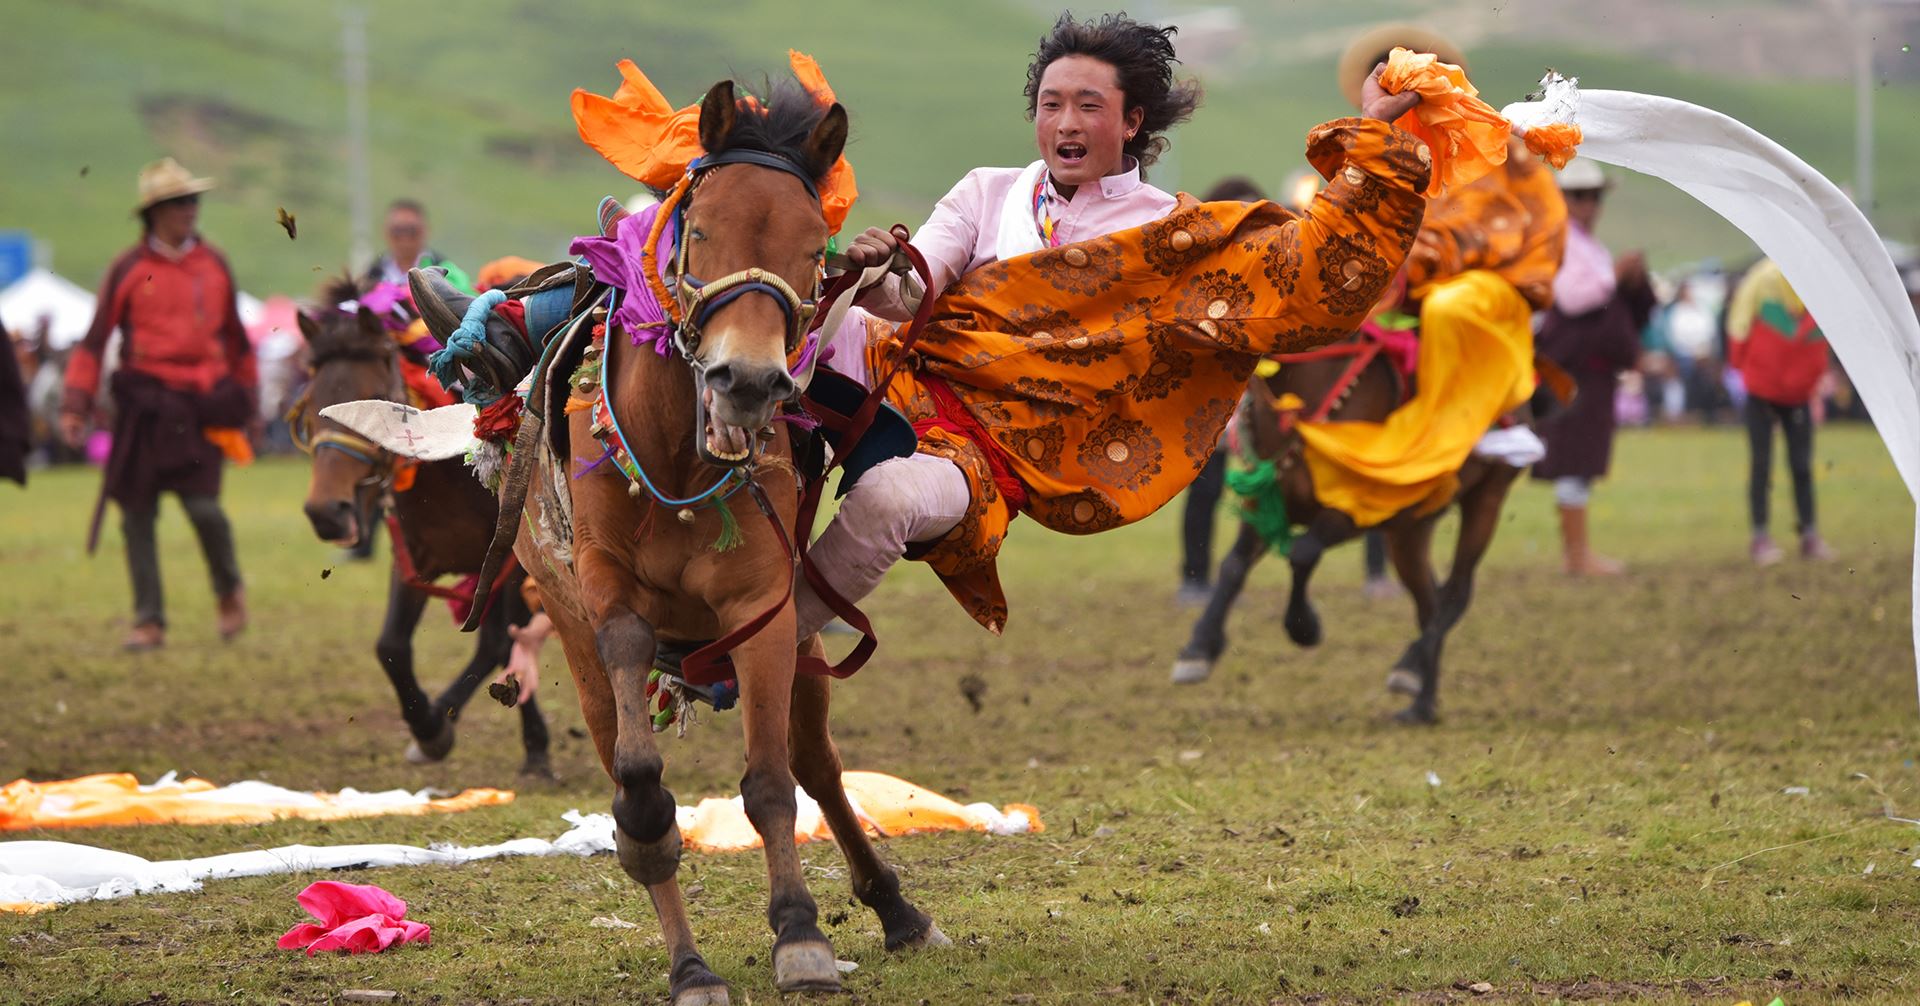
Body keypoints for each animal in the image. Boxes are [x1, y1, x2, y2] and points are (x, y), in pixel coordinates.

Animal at [291, 282, 552, 779]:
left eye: (373, 395)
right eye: (311, 404)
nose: (326, 512)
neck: (448, 476)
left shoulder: (511, 563)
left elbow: (506, 640)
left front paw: (535, 749)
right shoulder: (414, 559)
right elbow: (391, 647)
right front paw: (429, 730)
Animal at [426, 80, 944, 1006]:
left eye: (813, 250)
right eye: (699, 230)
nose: (747, 381)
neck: (674, 451)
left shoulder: (764, 609)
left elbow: (772, 784)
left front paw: (801, 935)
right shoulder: (607, 599)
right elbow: (640, 788)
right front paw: (665, 882)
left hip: (802, 635)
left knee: (815, 763)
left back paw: (894, 909)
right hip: (575, 637)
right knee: (630, 763)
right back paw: (691, 964)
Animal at [1167, 332, 1528, 721]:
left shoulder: (1353, 510)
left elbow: (1302, 554)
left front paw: (1305, 627)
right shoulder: (1265, 501)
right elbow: (1233, 566)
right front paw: (1198, 649)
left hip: (1488, 496)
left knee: (1455, 593)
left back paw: (1410, 667)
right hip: (1410, 530)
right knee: (1428, 601)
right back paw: (1421, 703)